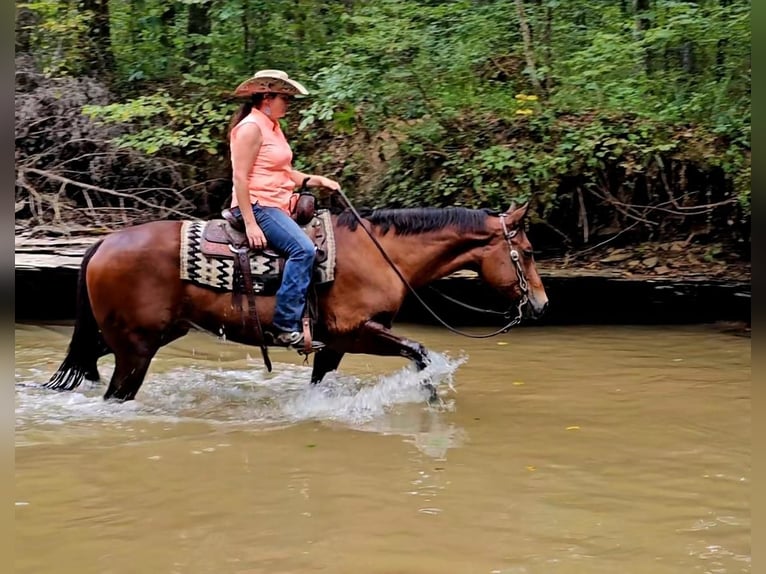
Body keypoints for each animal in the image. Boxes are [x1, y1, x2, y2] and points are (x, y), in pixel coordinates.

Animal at [45, 200, 548, 402]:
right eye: (526, 252)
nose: (542, 304)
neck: (379, 253)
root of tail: (104, 242)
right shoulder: (358, 333)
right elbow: (420, 353)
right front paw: (432, 400)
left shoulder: (335, 345)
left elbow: (319, 381)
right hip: (137, 348)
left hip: (141, 337)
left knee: (89, 360)